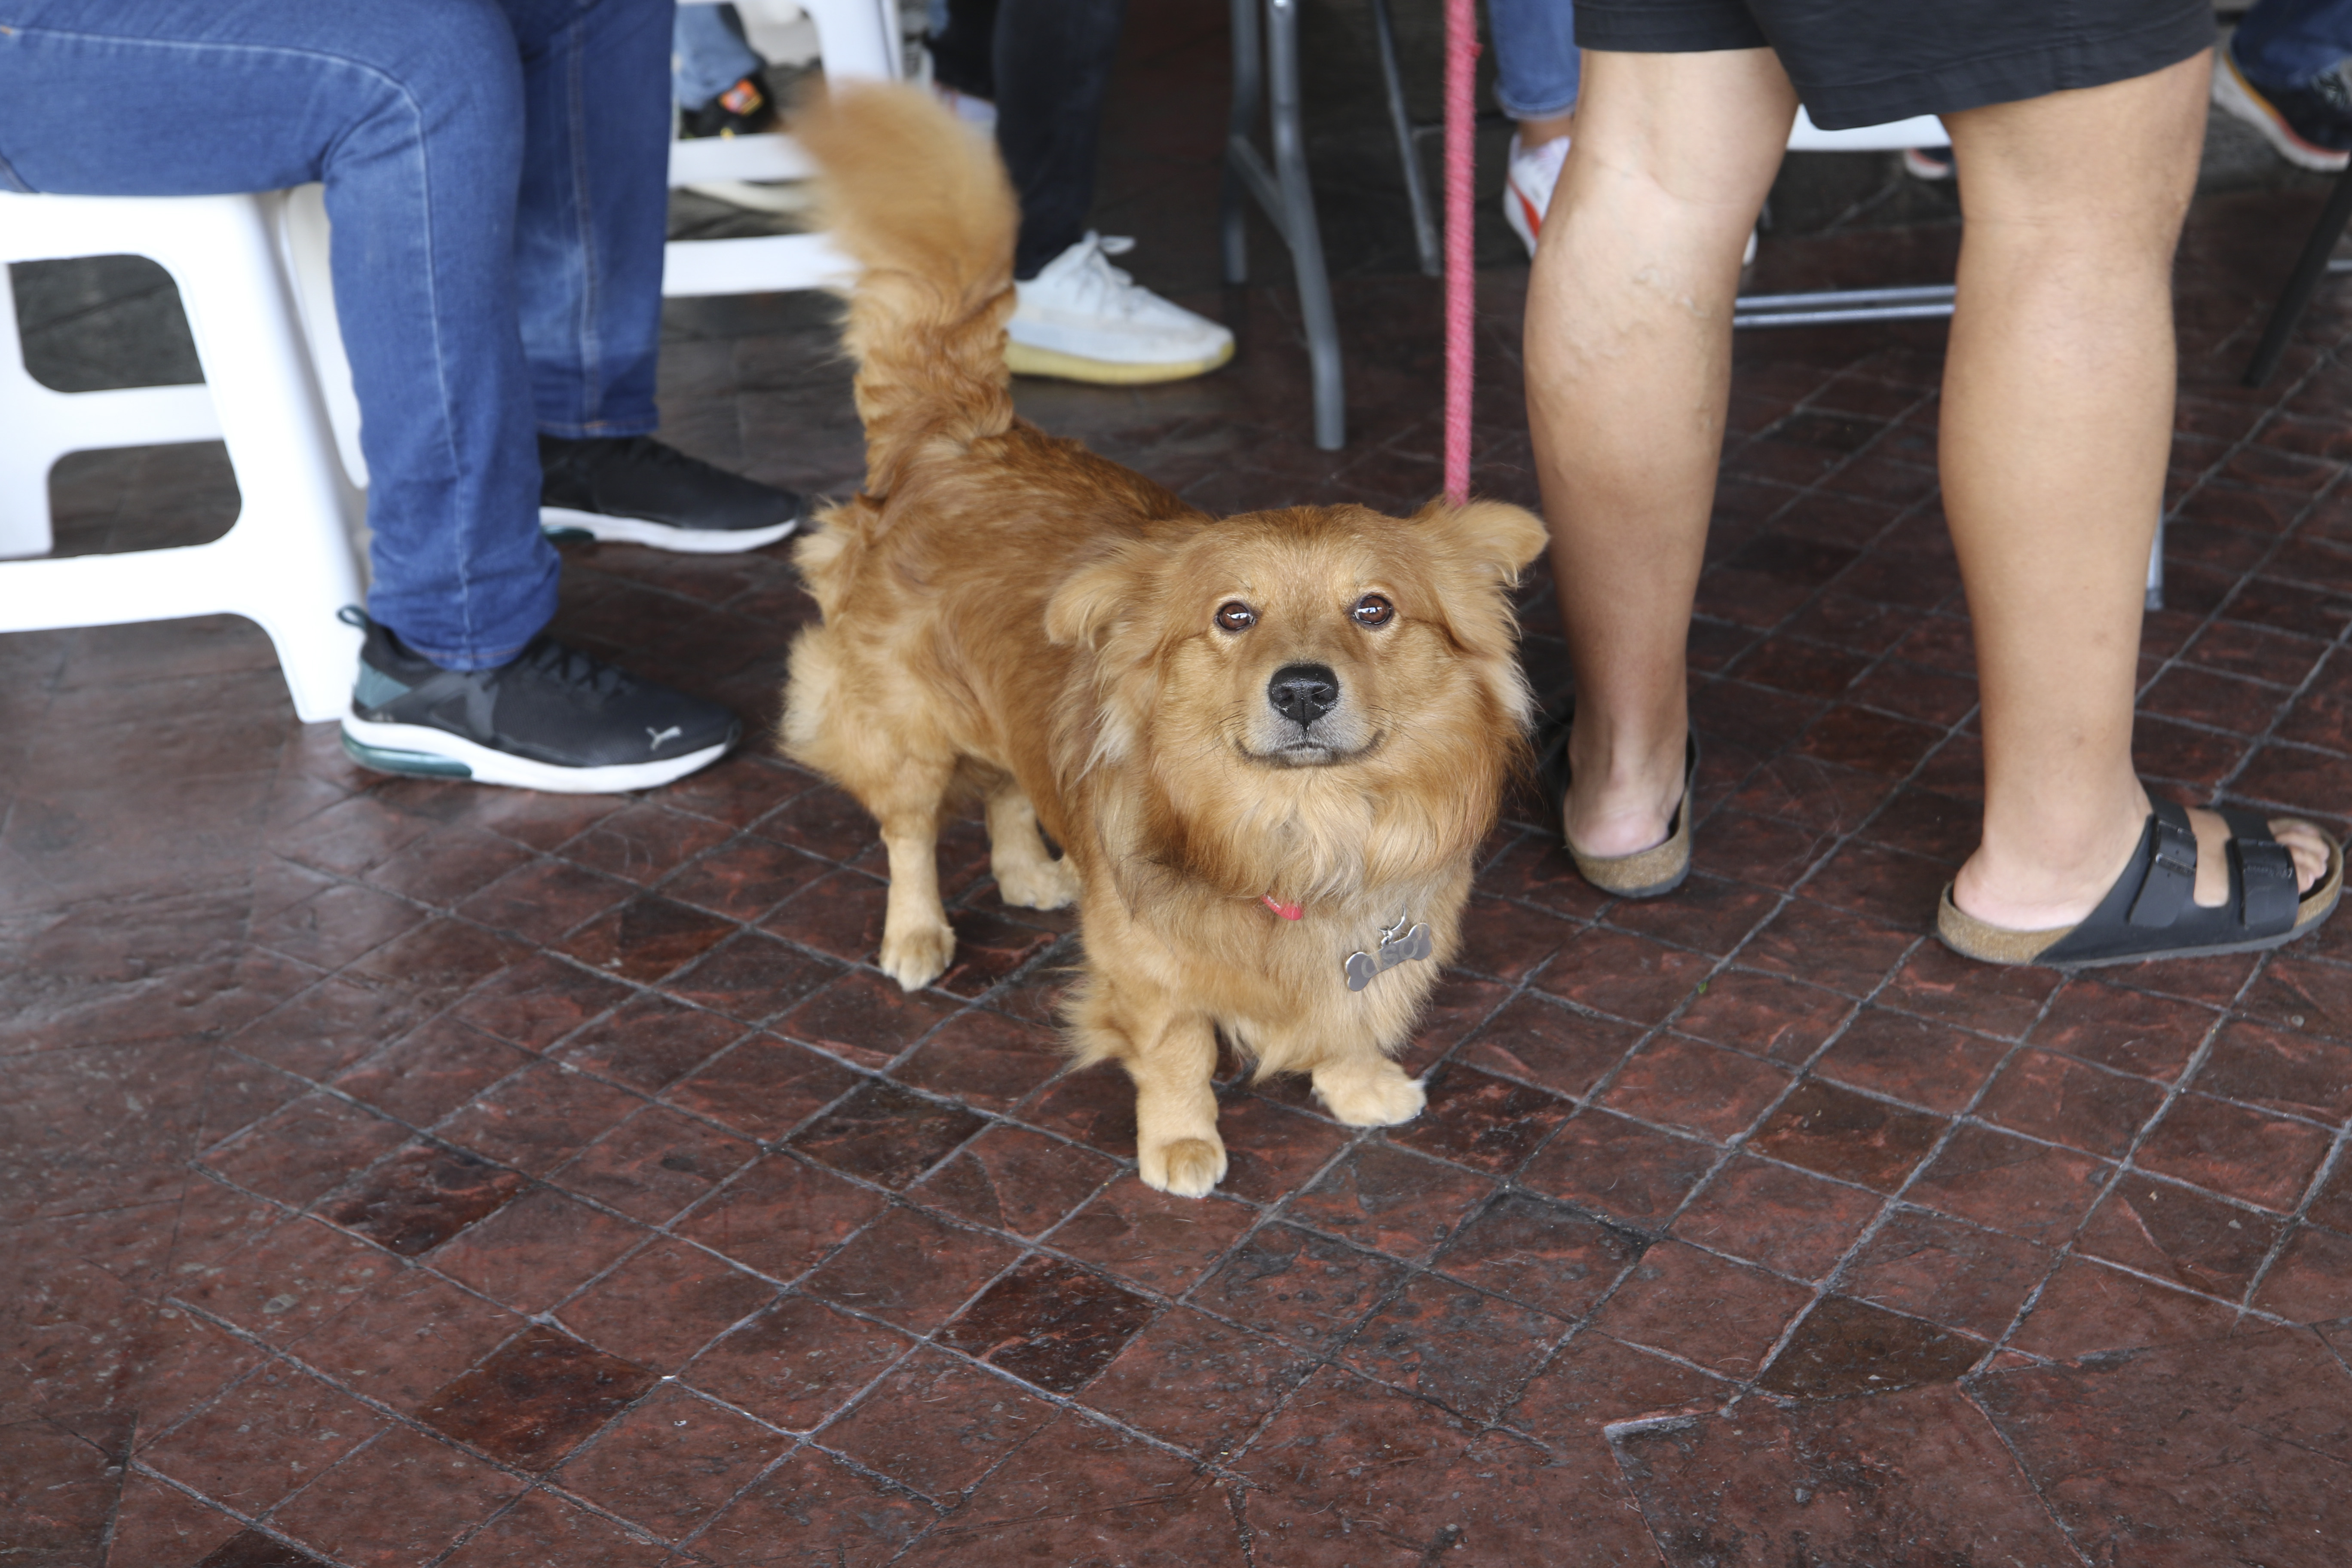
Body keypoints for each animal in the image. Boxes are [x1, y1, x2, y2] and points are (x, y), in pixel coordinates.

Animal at [783, 85, 1547, 1196]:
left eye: (1373, 610)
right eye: (1233, 617)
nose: (1303, 690)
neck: (1299, 830)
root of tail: (959, 436)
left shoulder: (1380, 924)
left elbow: (1349, 1009)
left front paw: (1358, 1083)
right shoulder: (1146, 963)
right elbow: (1178, 1049)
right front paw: (1181, 1142)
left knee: (1008, 782)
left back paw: (1028, 873)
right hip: (904, 732)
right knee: (910, 831)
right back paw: (918, 934)